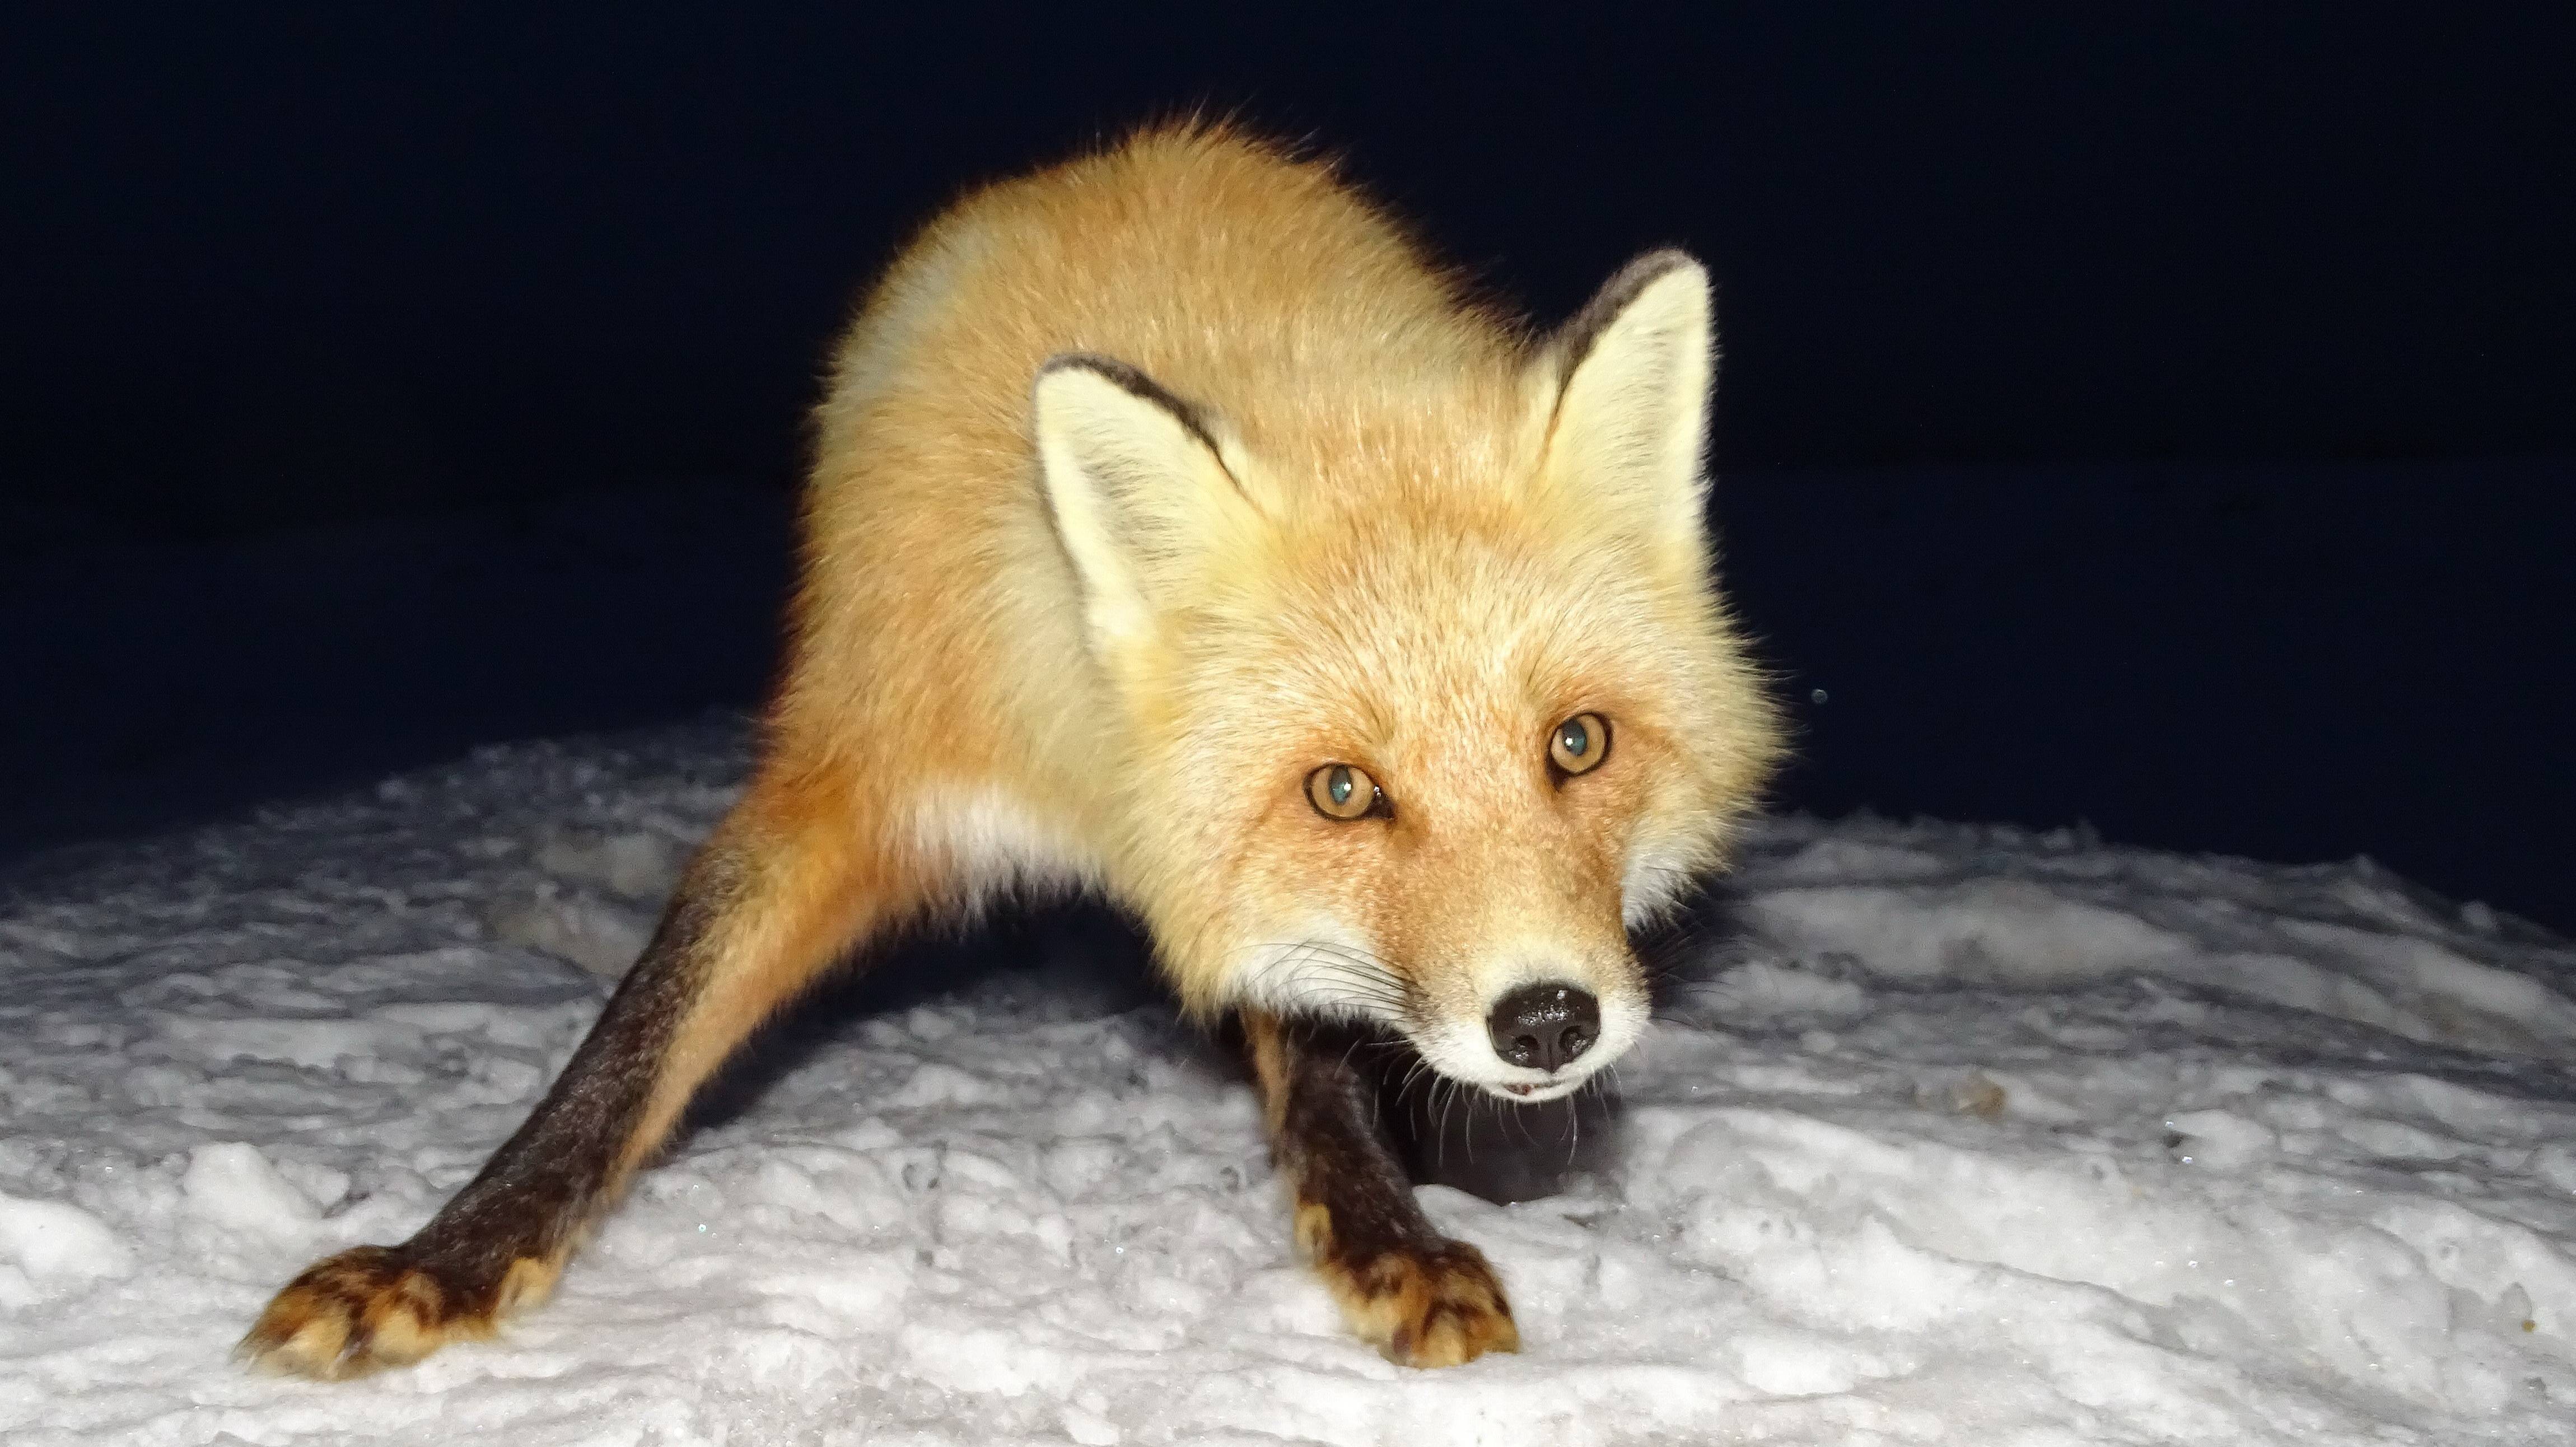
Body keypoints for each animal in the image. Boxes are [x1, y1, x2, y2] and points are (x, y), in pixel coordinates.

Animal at [242, 121, 1782, 1359]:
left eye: (1576, 745)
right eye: (1343, 790)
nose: (1547, 1021)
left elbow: (1314, 1053)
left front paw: (1381, 1230)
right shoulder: (861, 767)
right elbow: (640, 1036)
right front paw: (445, 1258)